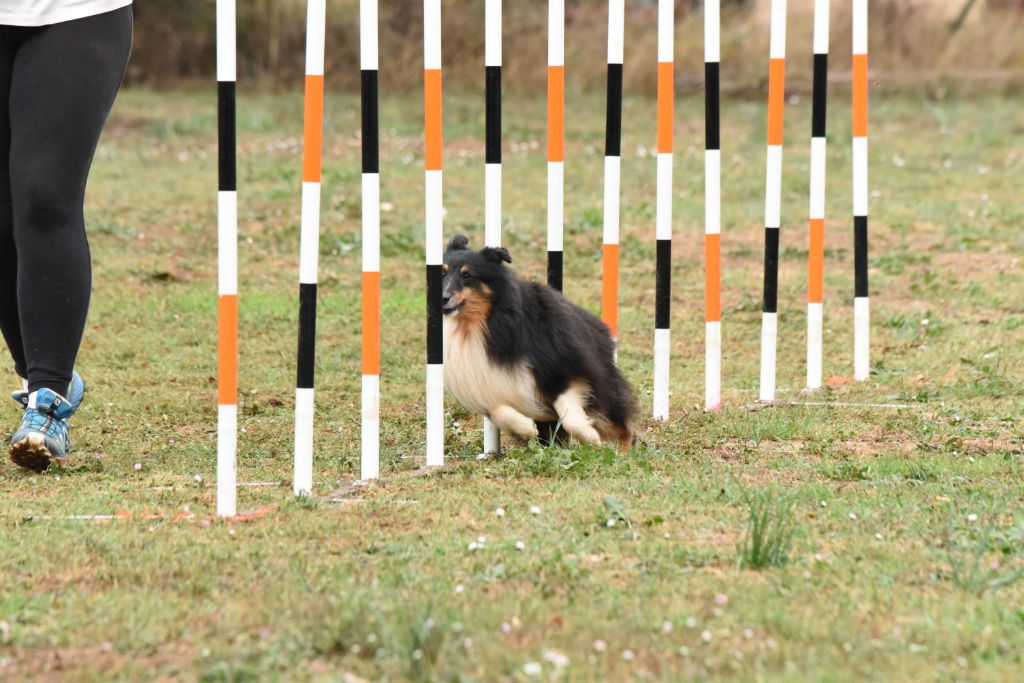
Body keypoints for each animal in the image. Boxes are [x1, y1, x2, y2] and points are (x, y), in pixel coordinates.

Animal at [442, 237, 634, 450]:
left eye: (467, 275)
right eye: (441, 272)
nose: (443, 298)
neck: (479, 324)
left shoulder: (558, 367)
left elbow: (570, 416)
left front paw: (590, 435)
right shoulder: (485, 384)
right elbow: (499, 409)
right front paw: (526, 428)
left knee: (617, 421)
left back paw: (624, 449)